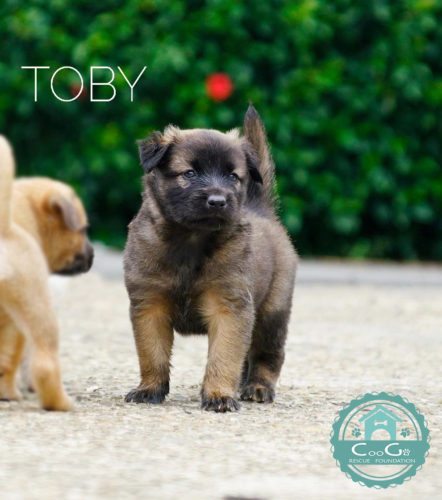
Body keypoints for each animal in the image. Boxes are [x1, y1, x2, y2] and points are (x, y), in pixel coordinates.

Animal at [0, 136, 93, 410]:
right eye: (83, 230)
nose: (93, 255)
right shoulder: (17, 322)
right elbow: (13, 360)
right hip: (40, 312)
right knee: (45, 364)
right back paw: (60, 402)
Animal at [124, 105, 297, 412]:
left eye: (232, 177)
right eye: (190, 173)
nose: (218, 201)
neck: (191, 241)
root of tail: (261, 209)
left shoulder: (229, 307)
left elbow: (223, 357)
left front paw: (219, 395)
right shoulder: (149, 305)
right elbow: (151, 354)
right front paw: (149, 389)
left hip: (272, 312)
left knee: (268, 354)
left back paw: (258, 387)